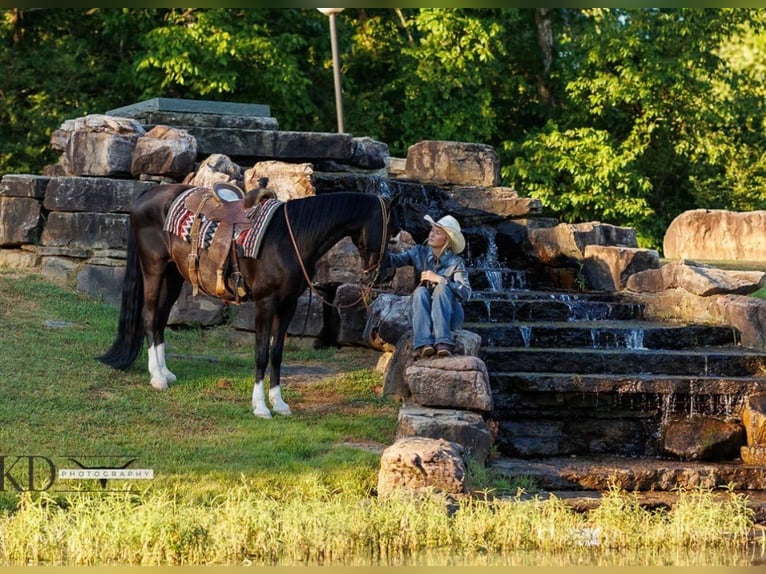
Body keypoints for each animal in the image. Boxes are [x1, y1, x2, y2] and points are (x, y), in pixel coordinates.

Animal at [98, 183, 398, 419]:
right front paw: (260, 407)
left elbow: (277, 353)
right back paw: (157, 378)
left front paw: (279, 403)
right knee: (149, 318)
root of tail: (146, 194)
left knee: (160, 320)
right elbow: (261, 353)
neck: (291, 237)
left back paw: (166, 372)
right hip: (154, 269)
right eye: (391, 231)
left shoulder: (288, 304)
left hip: (174, 276)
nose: (385, 274)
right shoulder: (265, 302)